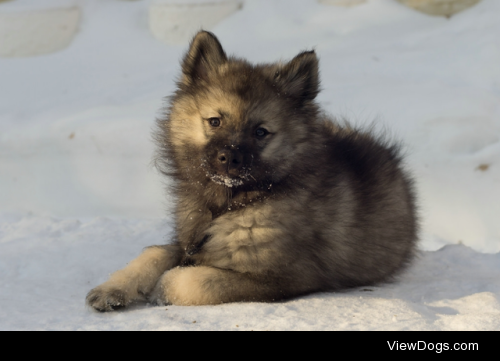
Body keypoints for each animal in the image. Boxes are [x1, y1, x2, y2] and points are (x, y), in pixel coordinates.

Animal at [87, 31, 418, 310]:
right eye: (215, 121)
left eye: (260, 132)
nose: (229, 158)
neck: (230, 204)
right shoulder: (188, 241)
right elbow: (155, 252)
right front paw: (113, 288)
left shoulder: (284, 277)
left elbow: (194, 281)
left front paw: (162, 287)